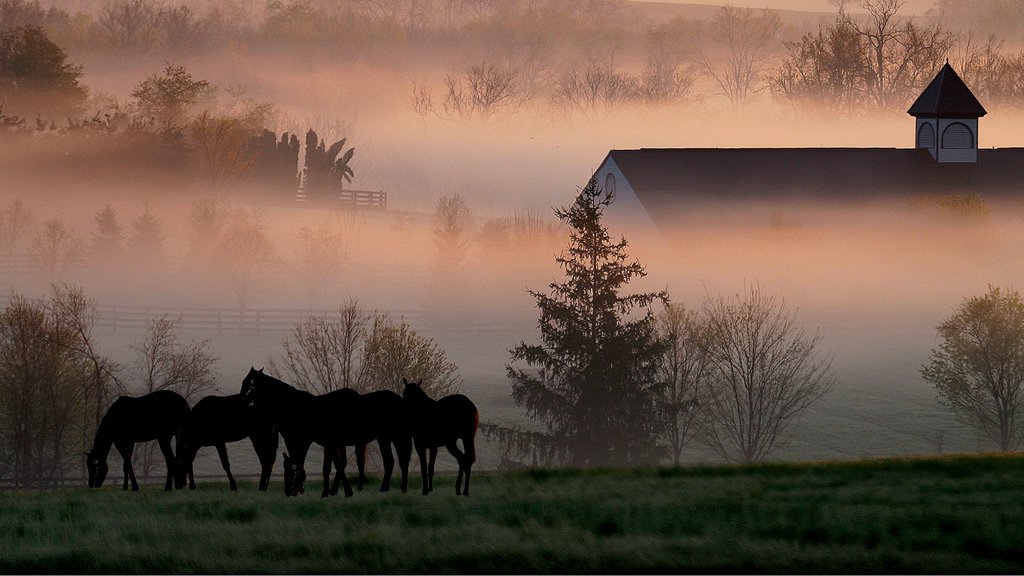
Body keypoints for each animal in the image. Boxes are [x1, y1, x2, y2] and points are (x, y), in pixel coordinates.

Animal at [239, 368, 411, 496]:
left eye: (249, 383)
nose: (242, 401)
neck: (294, 406)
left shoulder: (303, 440)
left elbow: (305, 463)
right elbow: (328, 465)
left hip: (389, 437)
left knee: (395, 461)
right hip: (386, 438)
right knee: (392, 461)